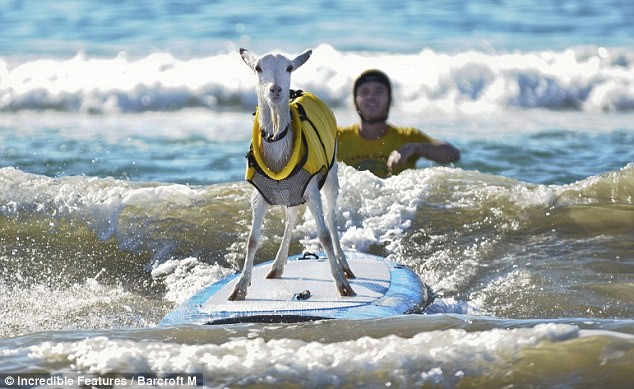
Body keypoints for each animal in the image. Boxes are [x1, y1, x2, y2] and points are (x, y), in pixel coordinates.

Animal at [227, 47, 356, 298]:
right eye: (258, 68)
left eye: (289, 68)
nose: (275, 89)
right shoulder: (259, 194)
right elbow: (252, 239)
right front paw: (240, 288)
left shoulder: (312, 187)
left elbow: (324, 235)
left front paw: (342, 285)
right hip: (291, 192)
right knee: (292, 215)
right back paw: (277, 266)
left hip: (331, 172)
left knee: (332, 217)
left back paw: (345, 266)